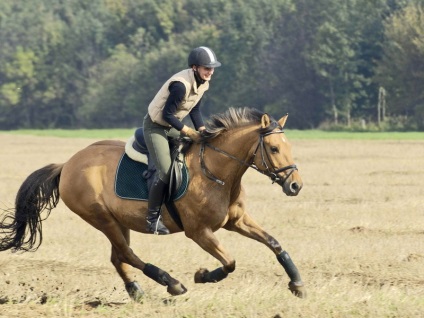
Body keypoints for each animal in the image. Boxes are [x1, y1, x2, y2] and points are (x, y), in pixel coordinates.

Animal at [0, 108, 304, 300]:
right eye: (274, 148)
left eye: (289, 147)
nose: (295, 185)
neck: (217, 171)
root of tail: (67, 165)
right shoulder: (199, 232)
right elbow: (229, 263)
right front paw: (202, 275)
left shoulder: (237, 221)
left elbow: (275, 243)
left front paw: (297, 283)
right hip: (102, 219)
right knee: (127, 254)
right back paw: (172, 284)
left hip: (117, 221)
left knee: (118, 257)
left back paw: (136, 291)